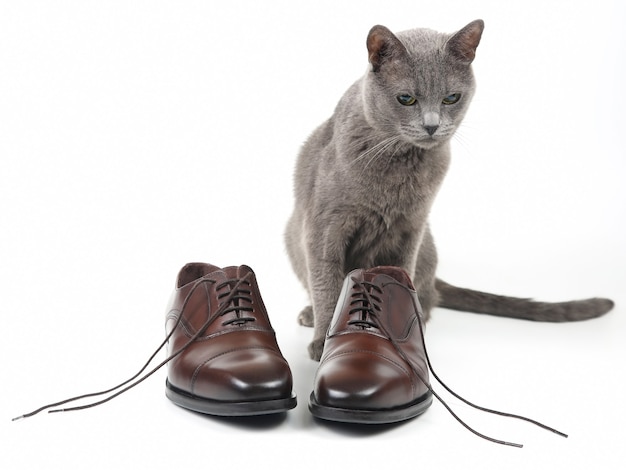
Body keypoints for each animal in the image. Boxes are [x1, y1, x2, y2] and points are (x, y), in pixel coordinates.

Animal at [286, 19, 612, 360]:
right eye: (406, 99)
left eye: (451, 98)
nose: (432, 125)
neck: (400, 164)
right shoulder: (325, 229)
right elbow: (327, 286)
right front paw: (324, 343)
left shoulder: (411, 228)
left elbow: (396, 279)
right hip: (292, 234)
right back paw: (309, 314)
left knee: (428, 298)